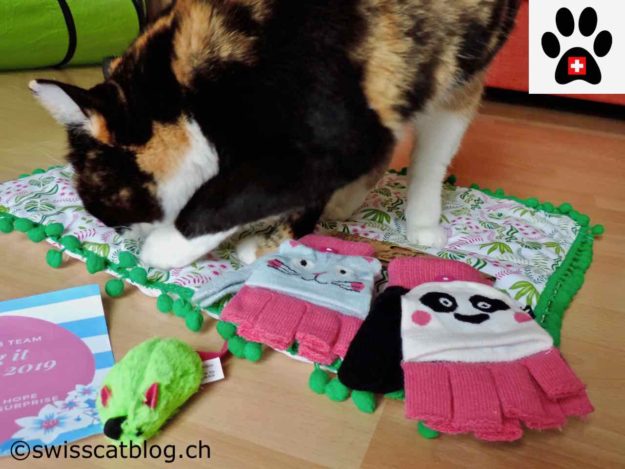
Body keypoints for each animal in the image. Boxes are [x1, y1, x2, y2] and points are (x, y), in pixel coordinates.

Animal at [29, 0, 520, 269]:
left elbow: (228, 198)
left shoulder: (334, 136)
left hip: (462, 67)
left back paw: (421, 224)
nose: (118, 234)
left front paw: (170, 248)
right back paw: (346, 202)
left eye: (103, 200)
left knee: (431, 156)